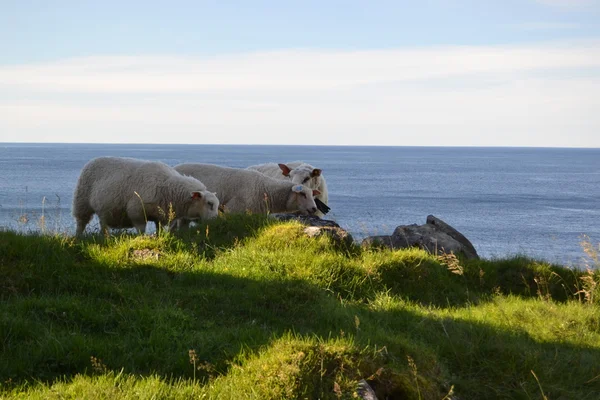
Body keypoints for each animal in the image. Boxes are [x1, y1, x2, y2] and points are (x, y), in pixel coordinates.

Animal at [72, 156, 218, 236]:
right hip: (82, 202)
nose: (216, 221)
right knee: (81, 223)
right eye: (209, 204)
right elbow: (141, 230)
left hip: (104, 208)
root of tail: (94, 159)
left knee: (103, 223)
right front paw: (142, 239)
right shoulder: (137, 212)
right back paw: (78, 238)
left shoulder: (160, 215)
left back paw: (105, 237)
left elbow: (159, 230)